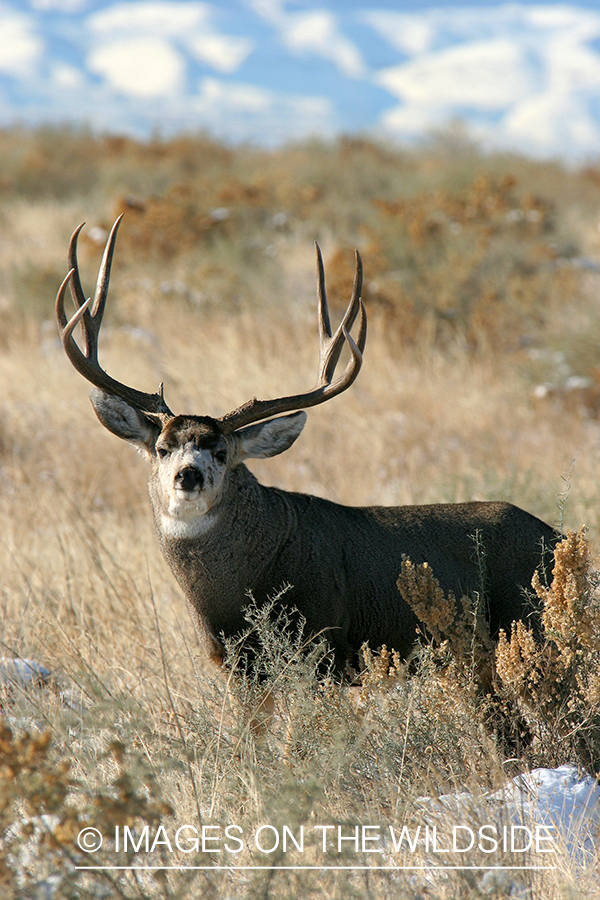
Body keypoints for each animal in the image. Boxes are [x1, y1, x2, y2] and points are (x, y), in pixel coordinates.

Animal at [56, 217, 558, 678]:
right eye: (162, 447)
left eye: (222, 453)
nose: (188, 475)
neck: (232, 598)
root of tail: (559, 539)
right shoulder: (235, 668)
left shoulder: (323, 649)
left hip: (526, 628)